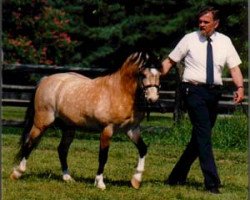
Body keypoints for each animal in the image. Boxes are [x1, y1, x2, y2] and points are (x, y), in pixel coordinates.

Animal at [9, 51, 161, 189]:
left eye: (159, 74)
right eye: (143, 75)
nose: (152, 99)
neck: (120, 91)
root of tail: (46, 80)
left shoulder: (131, 129)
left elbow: (143, 149)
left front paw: (136, 180)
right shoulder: (107, 129)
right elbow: (103, 156)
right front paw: (99, 183)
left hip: (69, 128)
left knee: (62, 149)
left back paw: (68, 178)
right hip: (42, 123)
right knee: (29, 143)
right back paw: (17, 173)